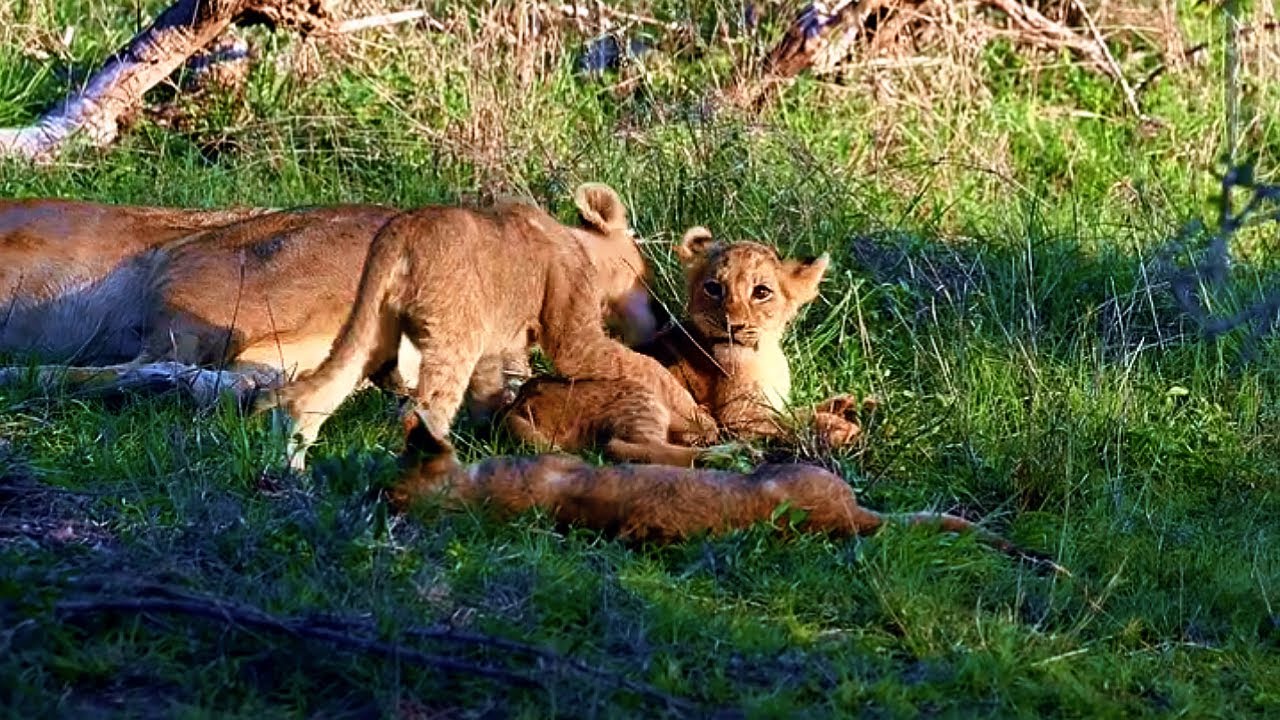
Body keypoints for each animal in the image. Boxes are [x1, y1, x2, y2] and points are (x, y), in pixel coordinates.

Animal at [261, 184, 715, 470]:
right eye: (646, 274)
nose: (663, 315)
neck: (577, 244)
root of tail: (402, 232)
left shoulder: (500, 345)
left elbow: (497, 392)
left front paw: (494, 434)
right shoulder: (573, 332)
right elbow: (642, 366)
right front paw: (698, 416)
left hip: (374, 327)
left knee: (318, 393)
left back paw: (293, 473)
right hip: (454, 335)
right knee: (421, 412)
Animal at [502, 228, 867, 465]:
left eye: (761, 292)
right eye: (713, 288)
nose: (732, 325)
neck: (765, 349)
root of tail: (518, 405)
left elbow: (796, 411)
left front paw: (847, 403)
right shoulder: (739, 419)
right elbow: (788, 423)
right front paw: (842, 428)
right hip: (641, 394)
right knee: (626, 449)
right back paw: (727, 454)